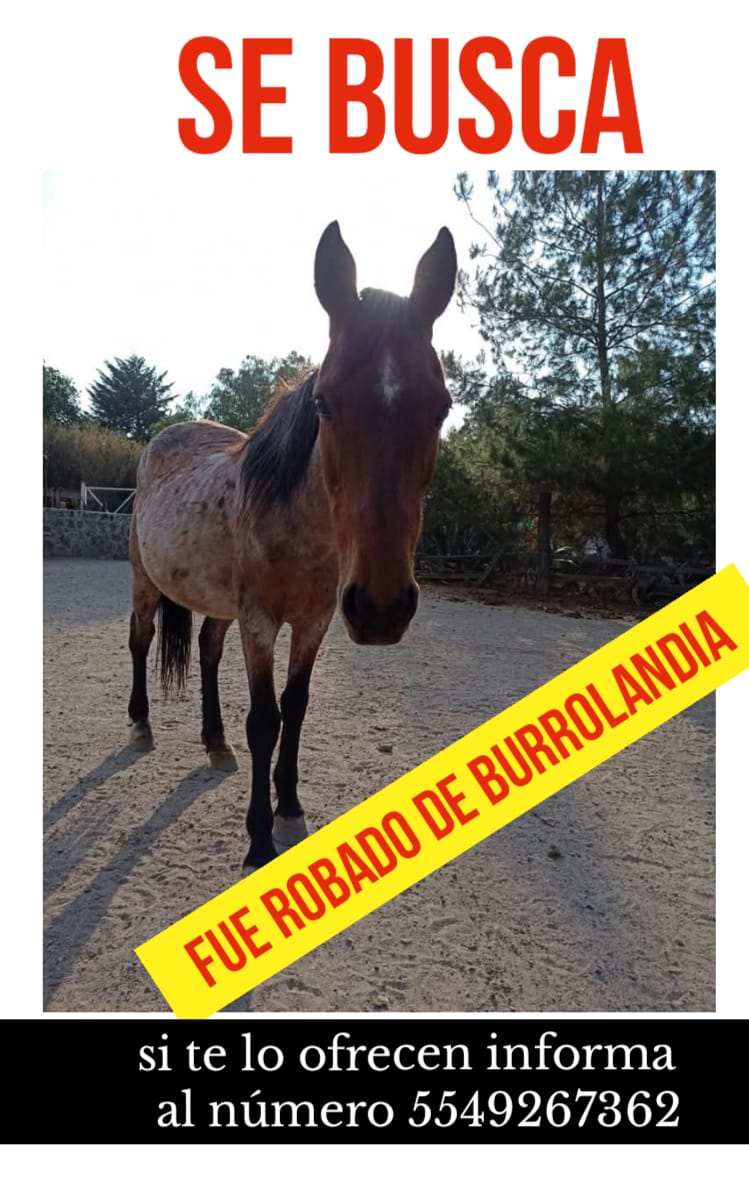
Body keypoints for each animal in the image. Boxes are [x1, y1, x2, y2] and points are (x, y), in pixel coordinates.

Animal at [127, 221, 457, 870]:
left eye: (441, 407)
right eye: (324, 402)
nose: (382, 608)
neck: (301, 527)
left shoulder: (314, 621)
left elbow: (296, 707)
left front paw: (291, 810)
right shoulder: (261, 621)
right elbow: (265, 719)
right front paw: (259, 839)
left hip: (220, 605)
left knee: (206, 650)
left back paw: (214, 742)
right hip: (145, 582)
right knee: (141, 640)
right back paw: (141, 726)